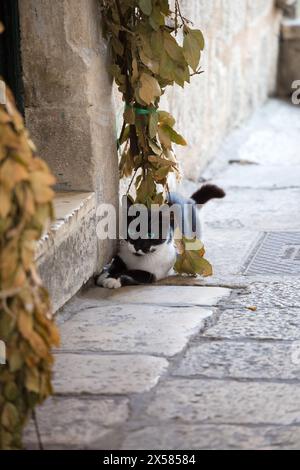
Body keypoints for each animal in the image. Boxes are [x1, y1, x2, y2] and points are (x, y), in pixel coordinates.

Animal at [96, 182, 225, 288]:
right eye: (131, 231)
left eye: (151, 234)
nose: (137, 247)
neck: (139, 259)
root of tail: (189, 200)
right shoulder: (122, 254)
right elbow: (115, 265)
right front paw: (105, 274)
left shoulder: (154, 273)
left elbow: (132, 272)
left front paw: (113, 280)